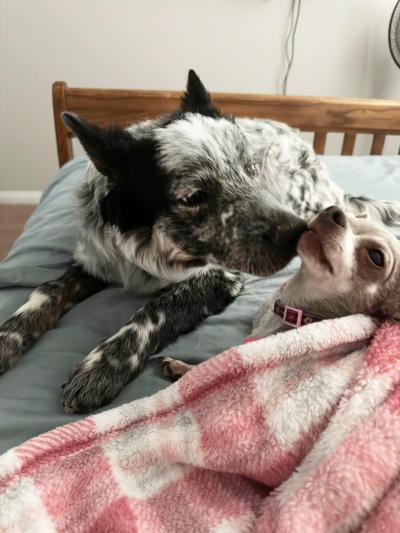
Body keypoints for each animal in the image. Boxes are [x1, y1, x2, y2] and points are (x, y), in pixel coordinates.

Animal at [0, 70, 400, 412]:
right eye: (193, 196)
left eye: (250, 170)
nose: (296, 234)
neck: (155, 247)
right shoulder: (97, 260)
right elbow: (45, 292)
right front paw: (7, 339)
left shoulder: (219, 276)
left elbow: (157, 309)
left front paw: (104, 365)